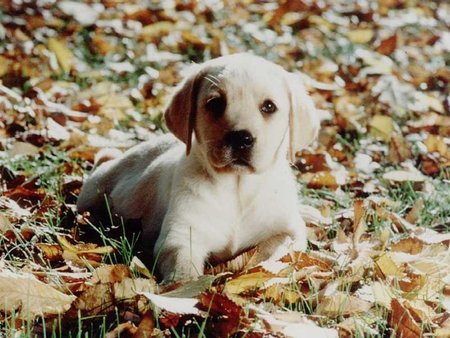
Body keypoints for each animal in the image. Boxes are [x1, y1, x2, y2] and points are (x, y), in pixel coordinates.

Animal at [79, 52, 322, 280]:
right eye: (215, 103)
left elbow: (273, 248)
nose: (240, 138)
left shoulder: (289, 230)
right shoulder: (180, 235)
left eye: (269, 107)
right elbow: (183, 266)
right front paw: (185, 288)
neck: (238, 188)